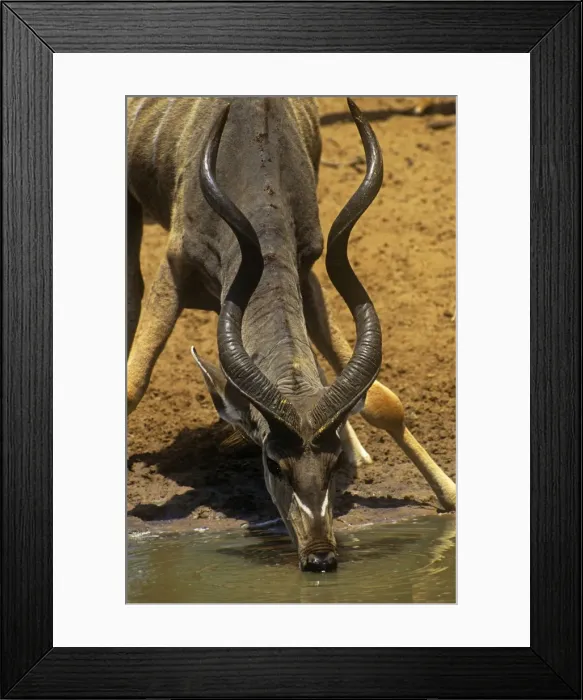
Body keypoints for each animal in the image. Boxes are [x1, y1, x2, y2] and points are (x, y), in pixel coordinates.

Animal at [127, 97, 456, 572]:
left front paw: (449, 493)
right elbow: (132, 383)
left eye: (331, 465)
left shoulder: (307, 268)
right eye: (273, 464)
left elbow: (382, 400)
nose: (319, 556)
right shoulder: (174, 267)